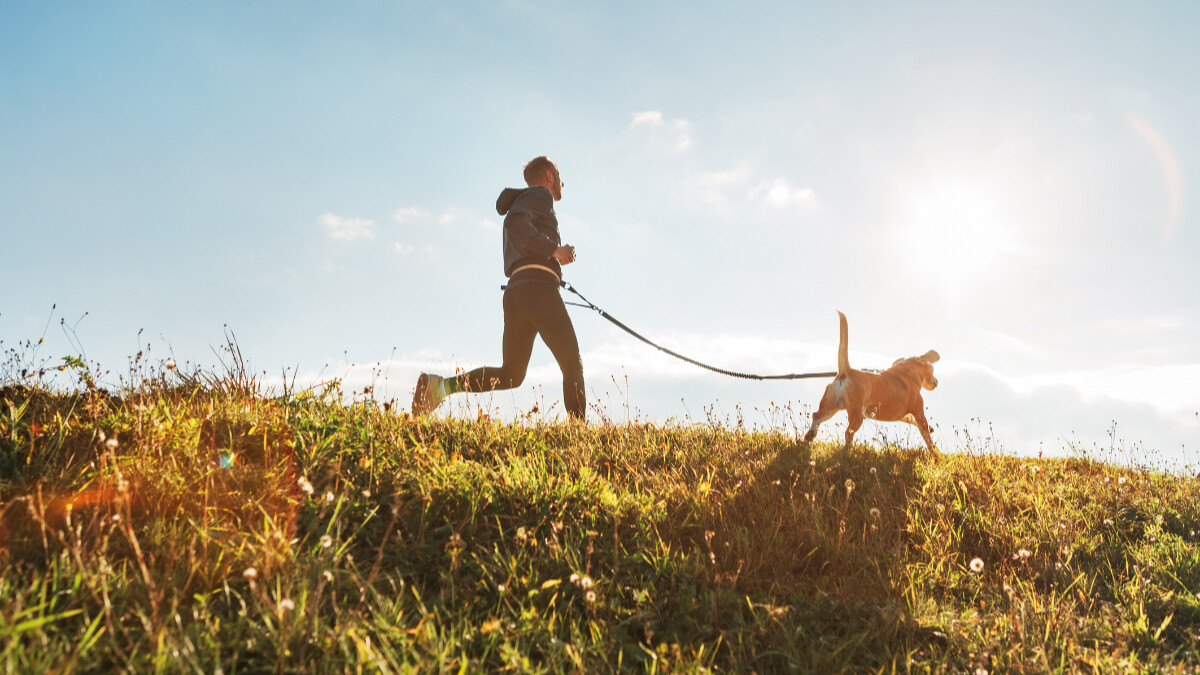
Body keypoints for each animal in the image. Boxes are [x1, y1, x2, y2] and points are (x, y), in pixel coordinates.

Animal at [801, 312, 940, 449]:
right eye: (932, 369)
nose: (937, 381)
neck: (907, 369)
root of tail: (846, 371)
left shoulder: (903, 415)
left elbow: (910, 419)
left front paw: (931, 429)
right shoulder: (919, 412)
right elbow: (927, 437)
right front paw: (935, 452)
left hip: (830, 406)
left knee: (816, 416)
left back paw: (809, 437)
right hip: (856, 414)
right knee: (848, 432)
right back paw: (848, 450)